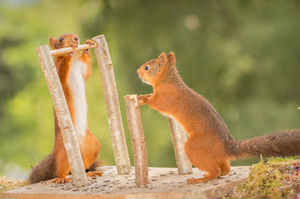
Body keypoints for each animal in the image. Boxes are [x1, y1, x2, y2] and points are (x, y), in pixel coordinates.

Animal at [29, 33, 102, 183]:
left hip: (92, 144)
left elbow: (87, 70)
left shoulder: (82, 69)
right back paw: (62, 177)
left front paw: (87, 46)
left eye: (75, 35)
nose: (76, 39)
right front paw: (69, 51)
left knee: (81, 165)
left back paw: (89, 173)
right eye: (61, 39)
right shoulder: (56, 70)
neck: (74, 62)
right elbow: (61, 72)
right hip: (65, 151)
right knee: (63, 168)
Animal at [137, 52, 300, 183]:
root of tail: (227, 148)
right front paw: (145, 95)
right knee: (225, 169)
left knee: (215, 170)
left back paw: (199, 179)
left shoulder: (167, 98)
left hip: (194, 147)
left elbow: (156, 103)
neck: (167, 81)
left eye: (147, 68)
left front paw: (143, 98)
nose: (138, 72)